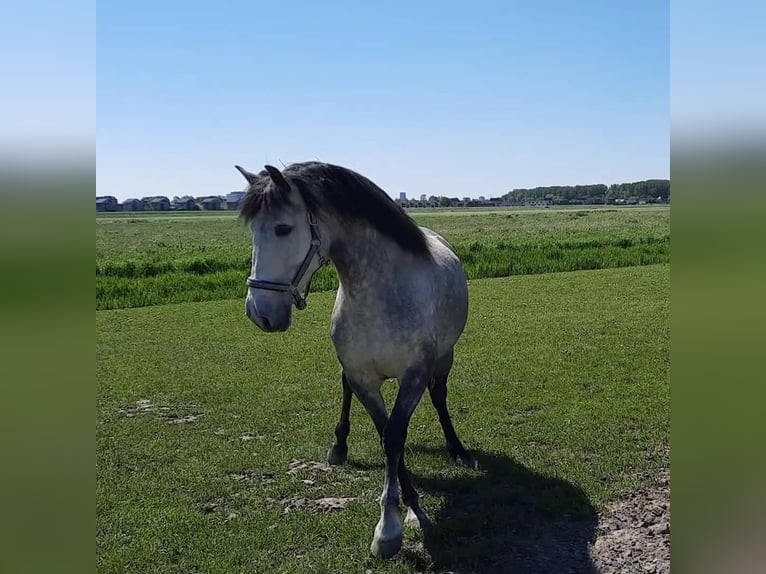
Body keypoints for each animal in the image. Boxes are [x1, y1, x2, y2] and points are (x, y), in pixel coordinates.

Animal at [236, 163, 474, 564]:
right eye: (253, 230)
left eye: (283, 228)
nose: (259, 313)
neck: (379, 293)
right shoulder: (363, 378)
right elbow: (386, 435)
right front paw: (405, 513)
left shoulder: (414, 376)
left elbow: (394, 437)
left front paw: (393, 527)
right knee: (345, 389)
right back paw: (340, 447)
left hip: (444, 358)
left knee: (439, 396)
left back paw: (457, 448)